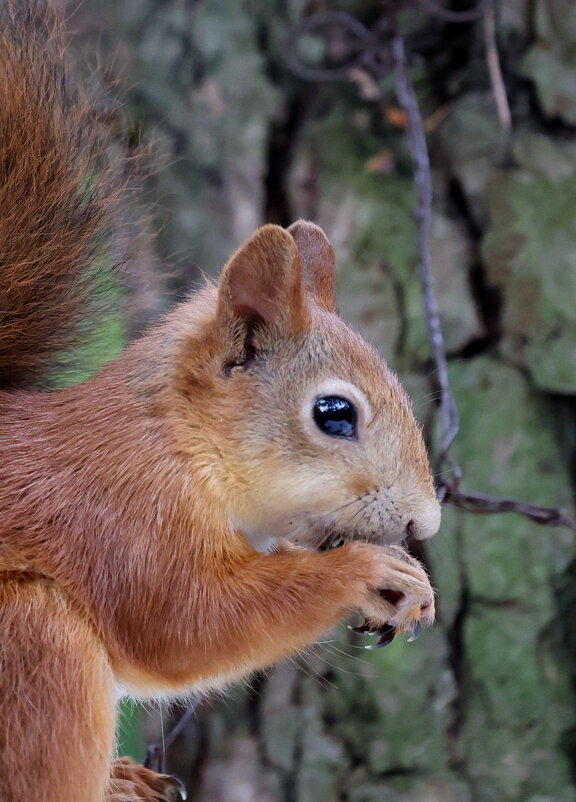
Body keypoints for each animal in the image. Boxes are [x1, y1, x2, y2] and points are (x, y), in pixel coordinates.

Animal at [1, 3, 440, 796]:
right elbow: (186, 625)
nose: (427, 522)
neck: (177, 440)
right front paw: (366, 573)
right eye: (335, 414)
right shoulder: (122, 520)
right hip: (29, 641)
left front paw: (408, 583)